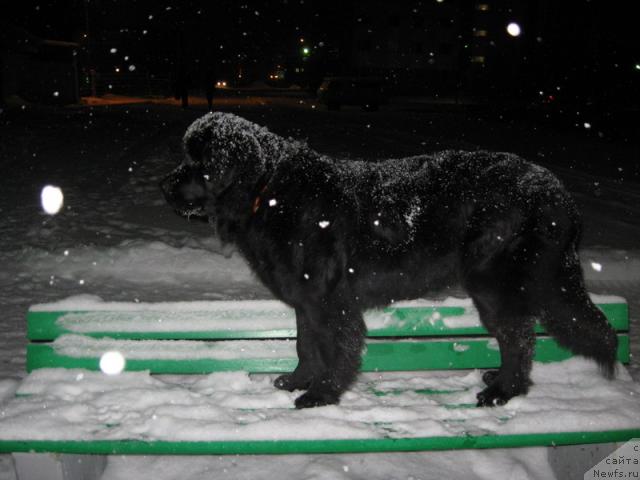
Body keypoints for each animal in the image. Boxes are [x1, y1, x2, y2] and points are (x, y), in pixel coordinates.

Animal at [162, 112, 616, 408]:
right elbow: (306, 343)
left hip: (493, 284)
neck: (268, 189)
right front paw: (298, 381)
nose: (164, 185)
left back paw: (503, 391)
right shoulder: (306, 298)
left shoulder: (329, 299)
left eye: (199, 162)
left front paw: (323, 394)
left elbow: (335, 348)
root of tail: (560, 194)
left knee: (518, 338)